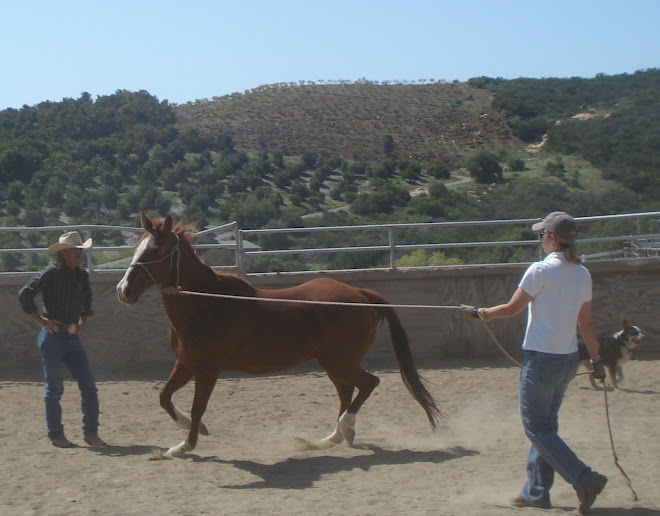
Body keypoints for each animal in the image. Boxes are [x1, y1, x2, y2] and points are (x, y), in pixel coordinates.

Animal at [117, 212, 444, 458]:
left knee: (368, 384)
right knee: (347, 392)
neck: (206, 304)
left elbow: (198, 407)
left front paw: (186, 444)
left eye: (155, 251)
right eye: (136, 248)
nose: (124, 291)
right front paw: (187, 433)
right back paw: (332, 437)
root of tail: (362, 295)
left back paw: (344, 428)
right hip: (334, 364)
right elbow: (164, 397)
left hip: (340, 361)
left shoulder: (208, 370)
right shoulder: (186, 365)